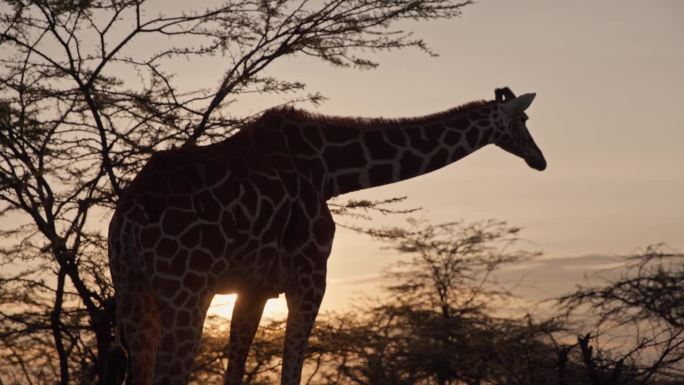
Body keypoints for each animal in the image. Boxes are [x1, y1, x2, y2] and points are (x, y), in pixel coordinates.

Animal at [105, 87, 544, 384]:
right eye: (524, 122)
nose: (539, 160)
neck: (330, 169)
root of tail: (129, 217)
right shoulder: (311, 276)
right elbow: (291, 372)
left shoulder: (256, 287)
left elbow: (237, 370)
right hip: (186, 291)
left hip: (132, 289)